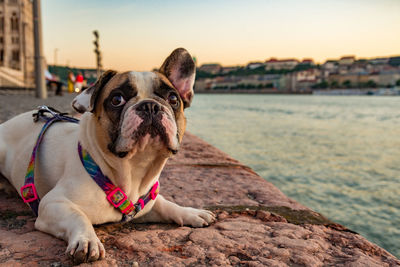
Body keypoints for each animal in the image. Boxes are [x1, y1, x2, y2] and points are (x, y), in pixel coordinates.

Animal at [0, 47, 216, 264]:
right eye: (116, 99)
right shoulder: (53, 203)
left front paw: (189, 212)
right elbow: (78, 216)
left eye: (173, 99)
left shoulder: (145, 204)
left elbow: (165, 204)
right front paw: (86, 240)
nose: (150, 105)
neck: (133, 170)